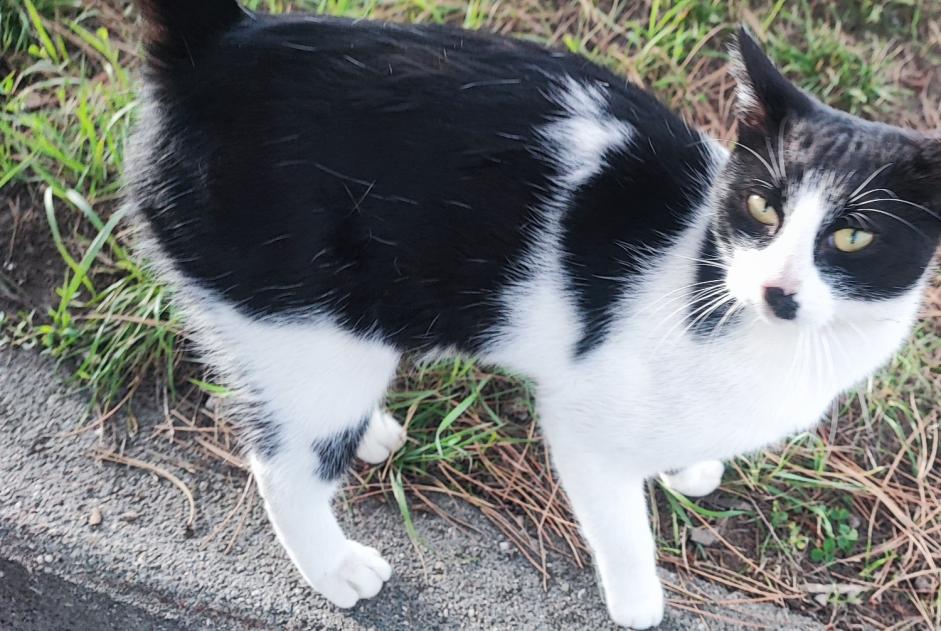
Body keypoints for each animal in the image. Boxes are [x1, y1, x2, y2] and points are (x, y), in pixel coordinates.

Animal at [126, 2, 940, 628]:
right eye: (762, 207)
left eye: (853, 236)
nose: (777, 289)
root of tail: (221, 44)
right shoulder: (583, 421)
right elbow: (621, 524)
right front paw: (639, 603)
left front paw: (692, 466)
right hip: (304, 328)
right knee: (283, 465)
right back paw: (335, 567)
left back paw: (372, 434)